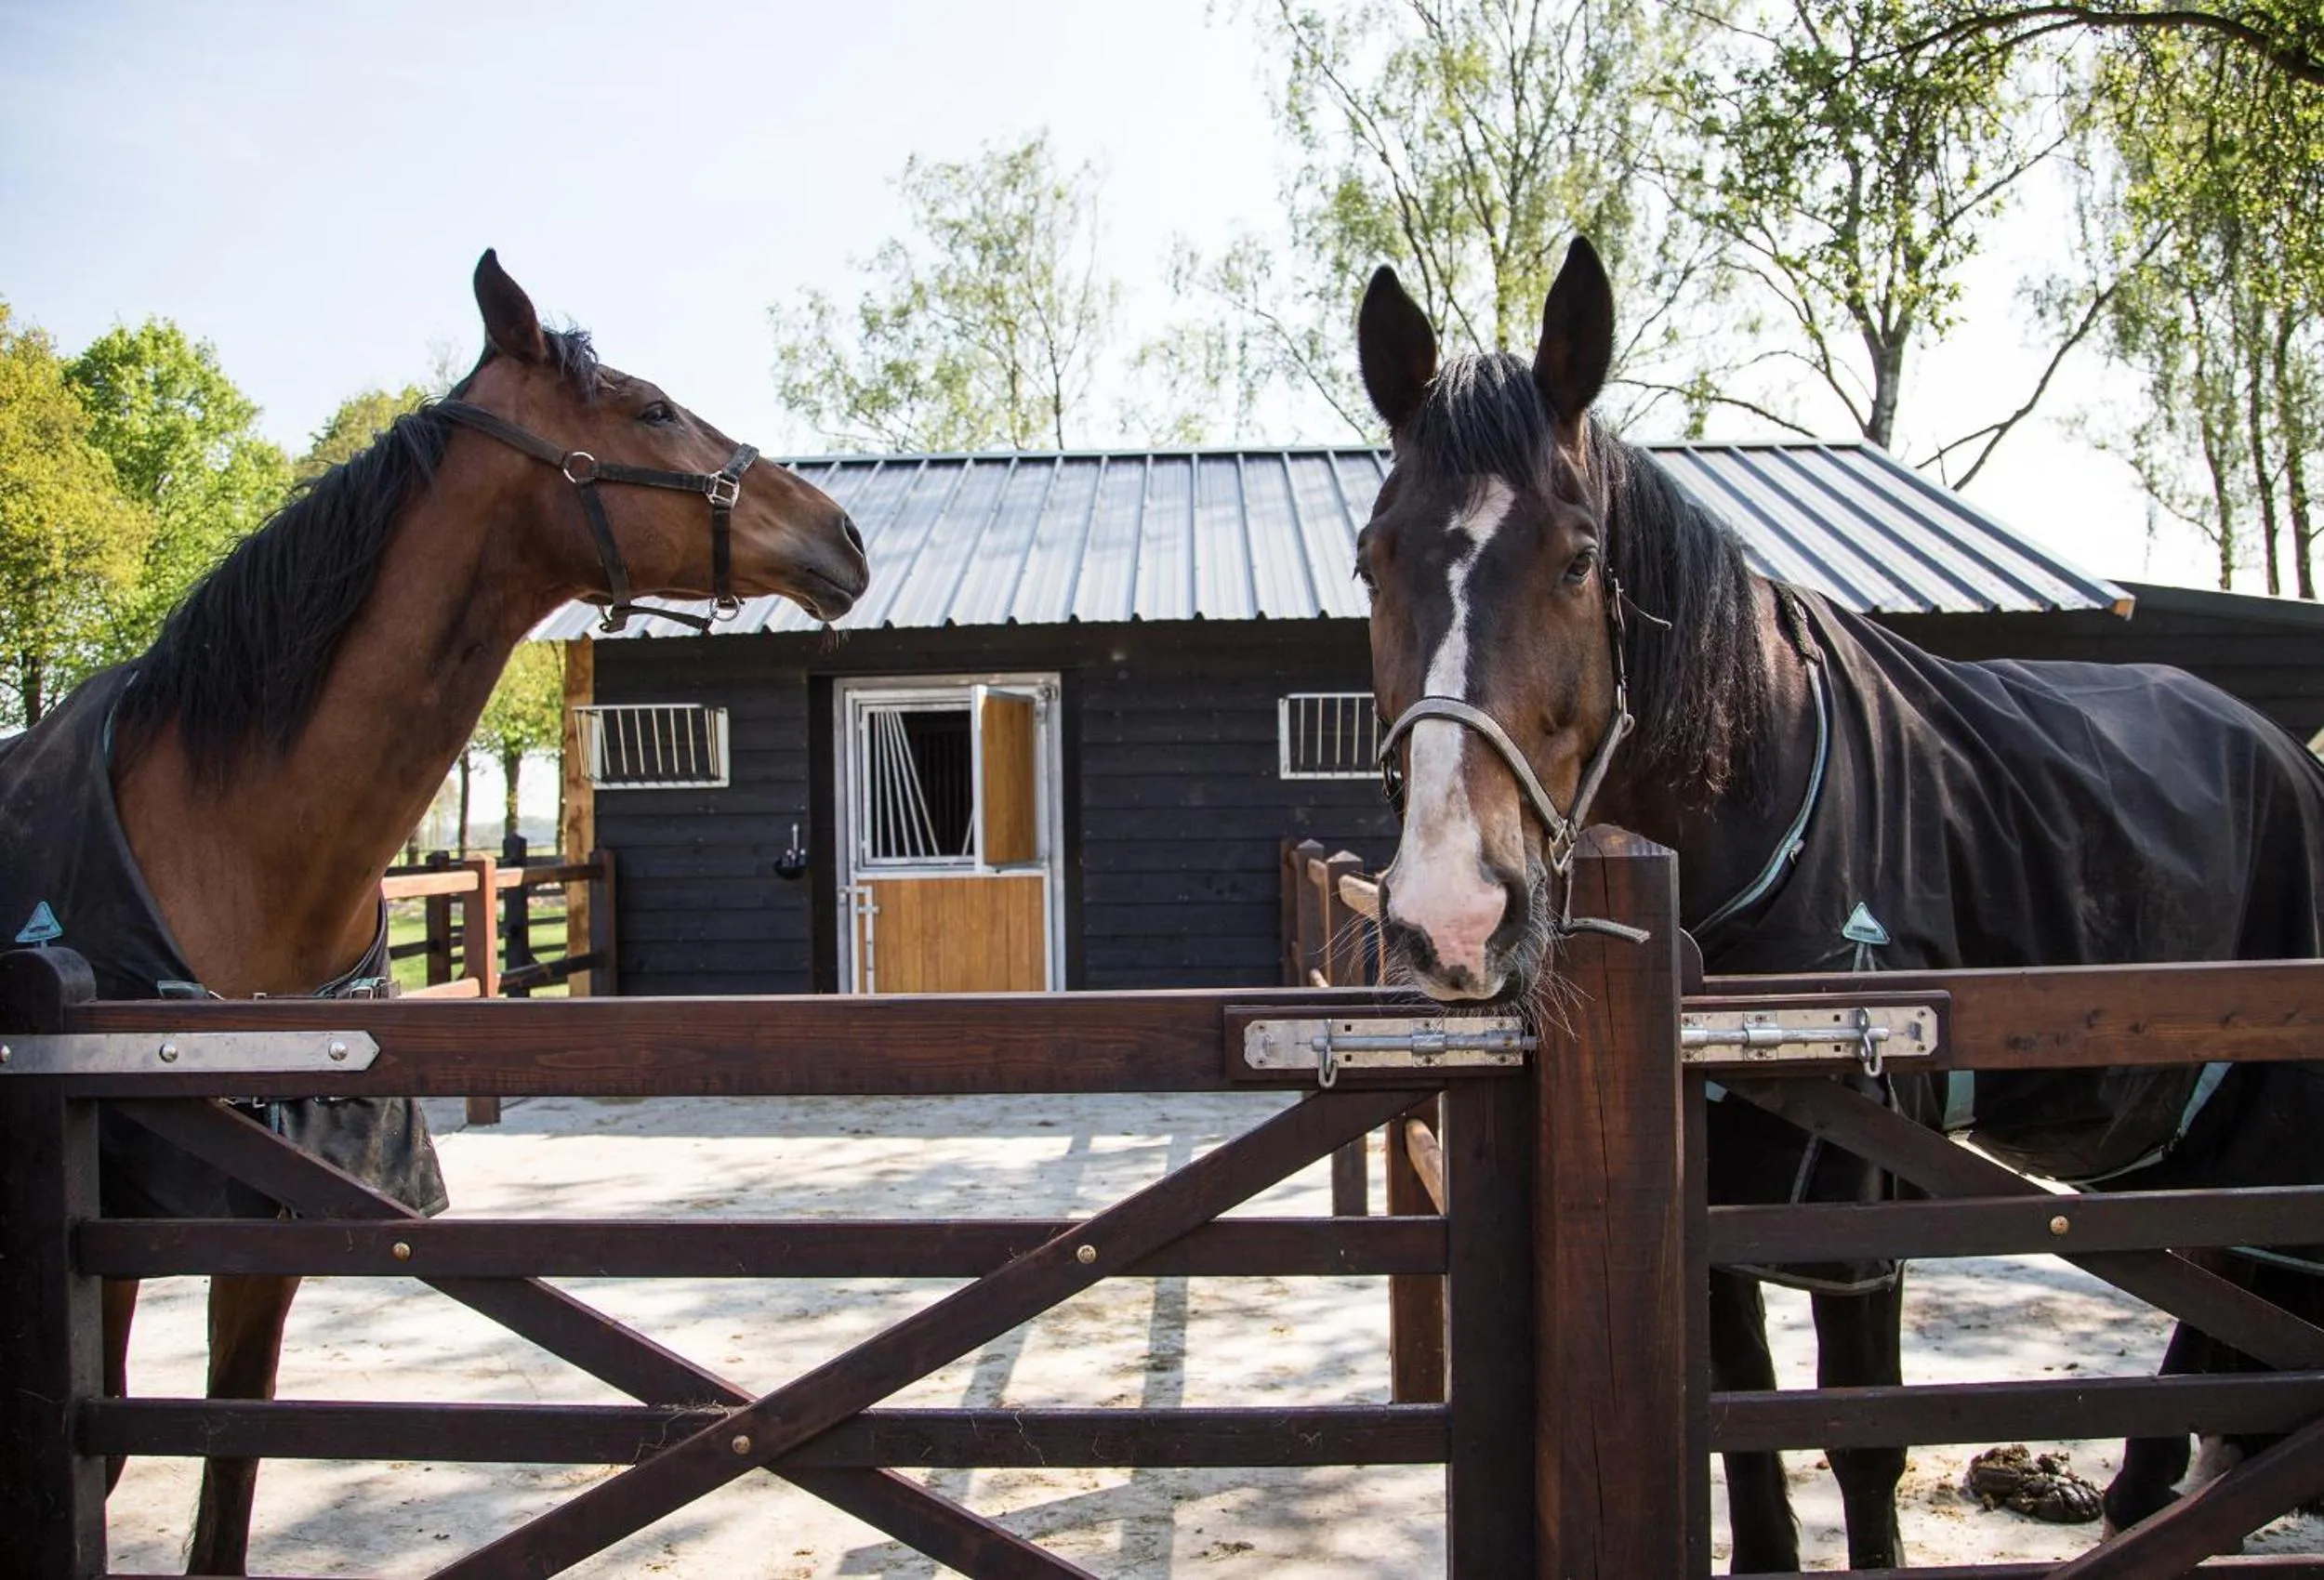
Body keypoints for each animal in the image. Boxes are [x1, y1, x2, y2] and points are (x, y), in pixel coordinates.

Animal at [0, 250, 868, 1574]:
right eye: (649, 406)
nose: (845, 533)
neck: (218, 843)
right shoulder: (113, 1237)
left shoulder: (276, 1220)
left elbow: (228, 1469)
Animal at [1350, 236, 2324, 1570]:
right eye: (1371, 559)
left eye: (1579, 559)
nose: (1450, 915)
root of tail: (2286, 749)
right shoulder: (1711, 1191)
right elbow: (1743, 1431)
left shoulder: (1860, 1204)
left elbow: (1861, 1441)